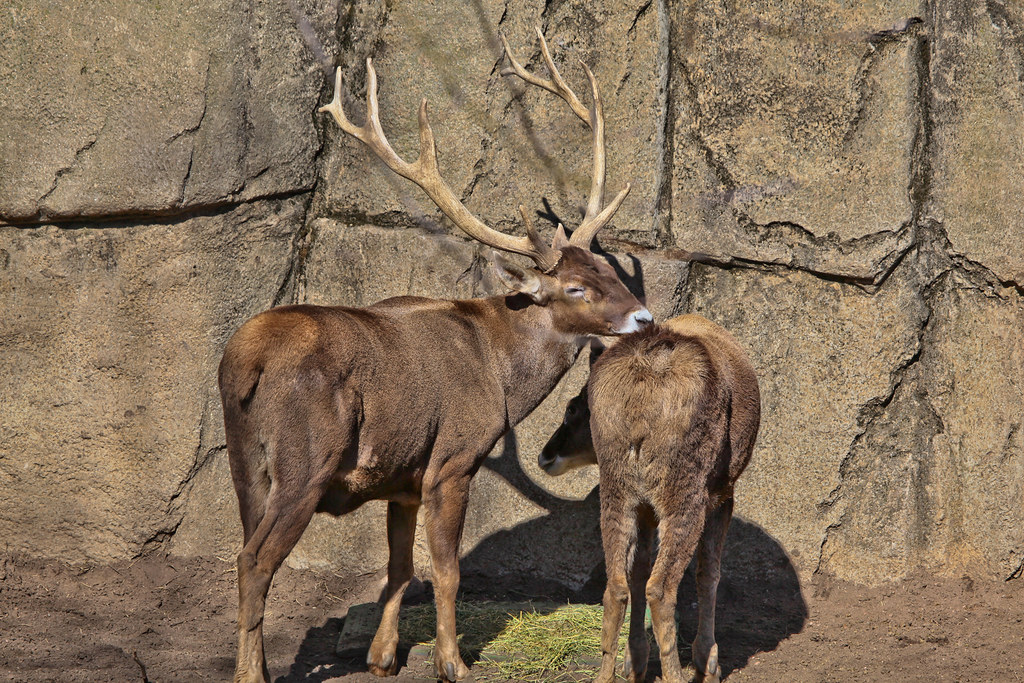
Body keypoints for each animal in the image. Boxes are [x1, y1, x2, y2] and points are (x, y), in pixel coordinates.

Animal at [218, 29, 653, 683]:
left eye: (606, 268)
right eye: (575, 288)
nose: (644, 318)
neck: (501, 370)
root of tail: (245, 359)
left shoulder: (402, 476)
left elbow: (399, 571)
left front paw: (381, 657)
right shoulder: (453, 458)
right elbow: (446, 572)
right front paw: (453, 662)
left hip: (244, 461)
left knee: (247, 550)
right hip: (305, 461)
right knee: (254, 562)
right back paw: (252, 674)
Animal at [538, 314, 761, 683]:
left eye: (573, 408)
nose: (545, 455)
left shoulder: (643, 507)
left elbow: (638, 571)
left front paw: (634, 660)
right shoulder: (723, 493)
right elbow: (709, 573)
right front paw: (709, 661)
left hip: (616, 488)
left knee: (615, 587)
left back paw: (605, 675)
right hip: (686, 490)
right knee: (661, 589)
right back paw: (676, 674)